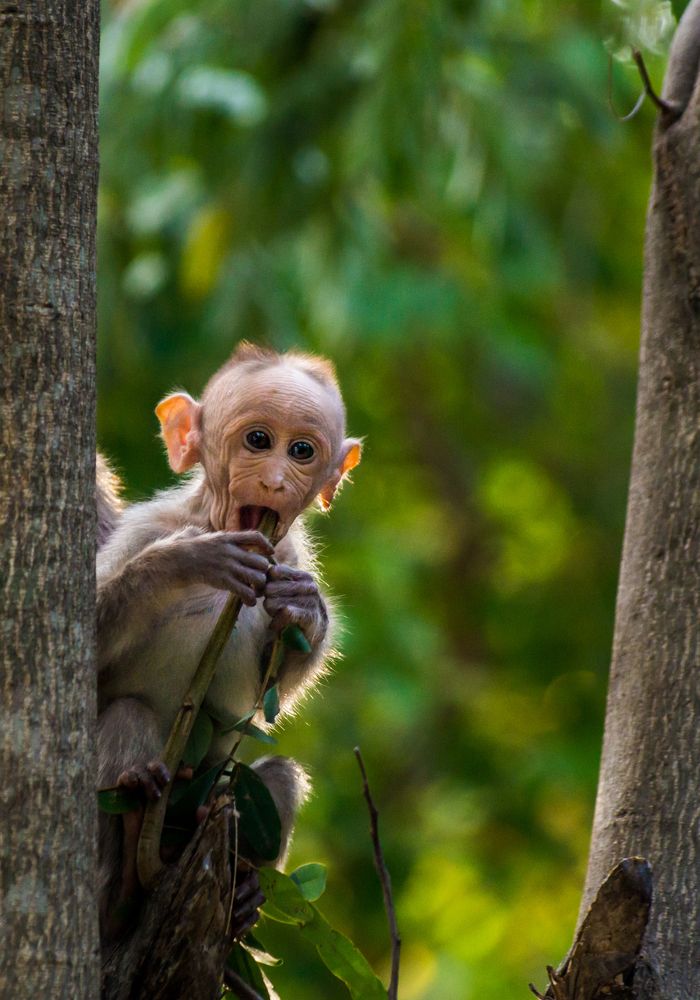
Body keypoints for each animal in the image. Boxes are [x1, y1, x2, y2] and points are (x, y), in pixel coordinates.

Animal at [96, 342, 361, 941]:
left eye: (302, 451)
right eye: (258, 440)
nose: (276, 483)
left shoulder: (286, 556)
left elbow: (273, 690)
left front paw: (307, 610)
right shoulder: (147, 526)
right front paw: (187, 561)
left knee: (273, 775)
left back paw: (243, 894)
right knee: (127, 714)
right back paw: (131, 848)